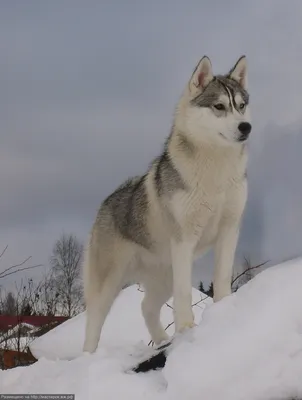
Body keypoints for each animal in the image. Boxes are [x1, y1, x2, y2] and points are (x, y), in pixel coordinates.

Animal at [82, 54, 250, 354]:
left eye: (241, 106)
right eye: (219, 106)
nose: (246, 127)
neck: (215, 172)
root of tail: (107, 200)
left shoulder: (230, 230)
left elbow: (221, 279)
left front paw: (222, 314)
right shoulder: (184, 240)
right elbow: (184, 294)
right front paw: (187, 330)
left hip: (162, 278)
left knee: (146, 308)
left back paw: (162, 341)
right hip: (108, 283)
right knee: (94, 322)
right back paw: (89, 356)